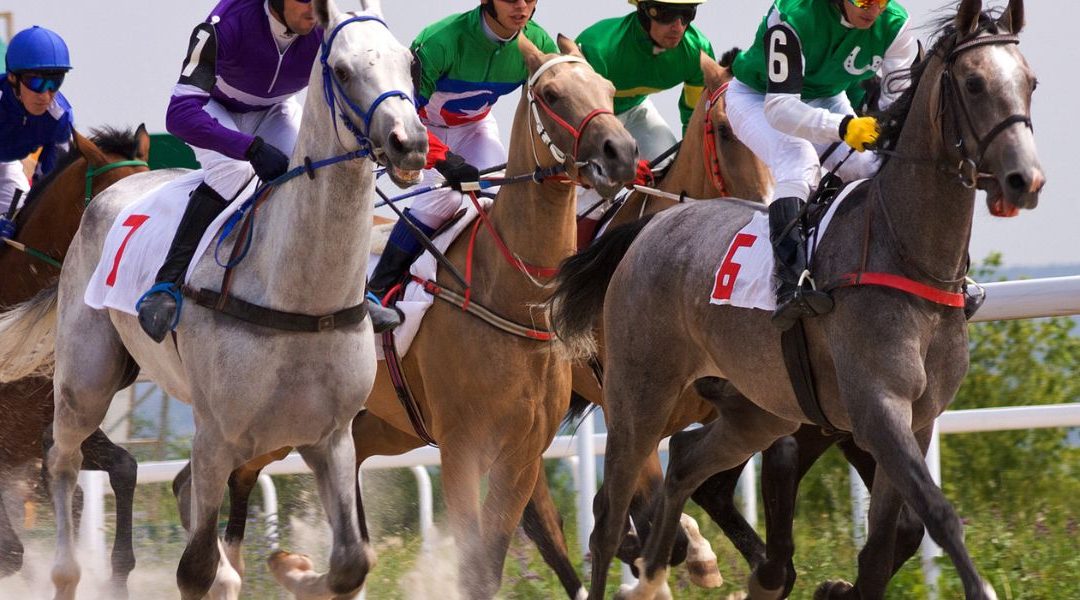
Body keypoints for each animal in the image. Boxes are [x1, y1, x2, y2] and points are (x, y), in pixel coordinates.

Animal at [550, 1, 1042, 598]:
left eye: (1030, 82)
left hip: (755, 410)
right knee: (608, 515)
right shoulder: (878, 409)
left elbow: (884, 544)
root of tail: (654, 224)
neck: (908, 255)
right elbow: (938, 514)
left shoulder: (916, 419)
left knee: (686, 464)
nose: (1023, 180)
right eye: (973, 83)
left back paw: (662, 571)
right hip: (639, 397)